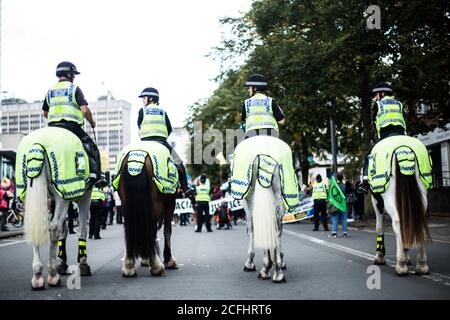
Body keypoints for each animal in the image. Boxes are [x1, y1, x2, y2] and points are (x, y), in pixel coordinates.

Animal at [15, 126, 93, 288]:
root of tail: (37, 143)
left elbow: (65, 230)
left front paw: (61, 262)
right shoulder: (84, 196)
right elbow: (82, 229)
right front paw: (82, 264)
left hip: (30, 193)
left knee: (37, 225)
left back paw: (38, 275)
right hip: (62, 193)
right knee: (55, 227)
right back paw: (52, 275)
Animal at [114, 141, 178, 276]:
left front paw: (144, 258)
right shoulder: (170, 204)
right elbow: (167, 230)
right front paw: (169, 260)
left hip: (126, 204)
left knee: (129, 228)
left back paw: (129, 265)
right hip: (157, 204)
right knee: (151, 230)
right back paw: (156, 266)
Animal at [368, 135, 434, 276]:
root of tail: (404, 148)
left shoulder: (376, 201)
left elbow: (379, 227)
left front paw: (380, 257)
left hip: (389, 197)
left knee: (398, 223)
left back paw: (401, 264)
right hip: (421, 195)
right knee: (418, 221)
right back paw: (422, 265)